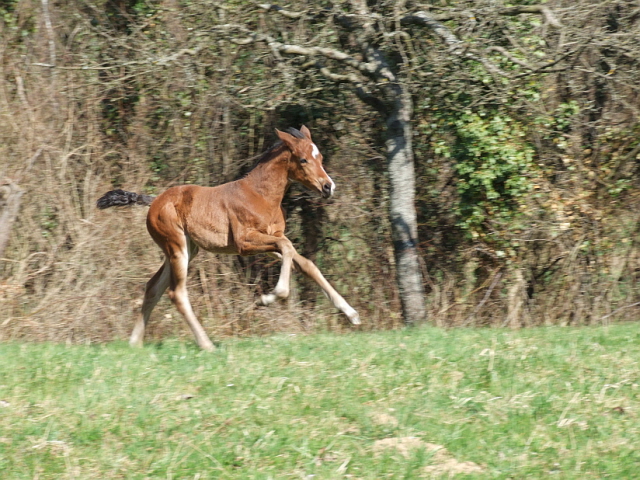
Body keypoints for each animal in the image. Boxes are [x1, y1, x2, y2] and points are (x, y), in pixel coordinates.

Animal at [96, 124, 360, 348]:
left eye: (321, 158)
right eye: (303, 159)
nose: (328, 187)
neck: (261, 195)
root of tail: (154, 201)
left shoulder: (269, 240)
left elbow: (303, 261)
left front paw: (351, 314)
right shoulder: (245, 242)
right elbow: (286, 246)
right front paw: (269, 297)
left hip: (186, 250)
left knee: (153, 287)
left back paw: (134, 342)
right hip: (177, 247)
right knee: (176, 293)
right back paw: (206, 344)